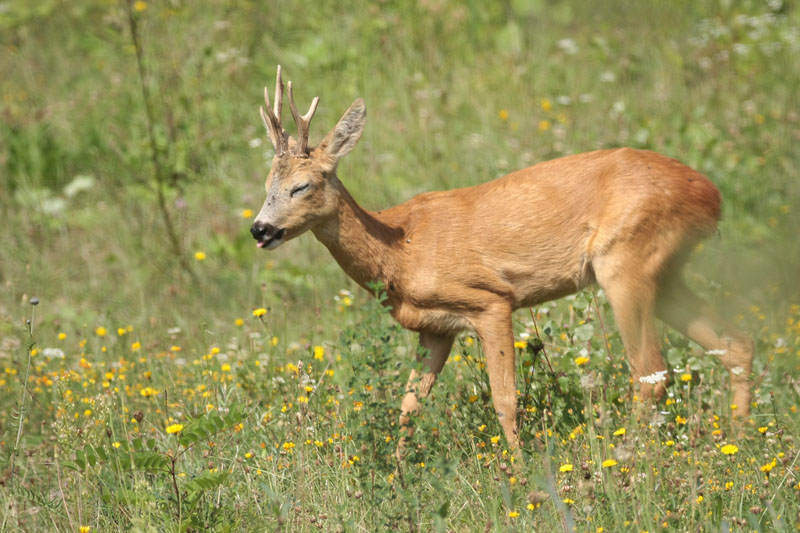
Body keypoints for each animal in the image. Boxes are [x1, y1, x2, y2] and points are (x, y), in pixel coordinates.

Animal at [252, 67, 756, 454]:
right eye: (266, 184)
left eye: (302, 186)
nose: (260, 229)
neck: (399, 251)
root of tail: (711, 195)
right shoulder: (435, 329)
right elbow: (410, 403)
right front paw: (397, 472)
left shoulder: (491, 300)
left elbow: (505, 398)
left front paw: (518, 467)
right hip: (665, 272)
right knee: (734, 342)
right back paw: (738, 440)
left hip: (625, 260)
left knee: (651, 371)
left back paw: (630, 457)